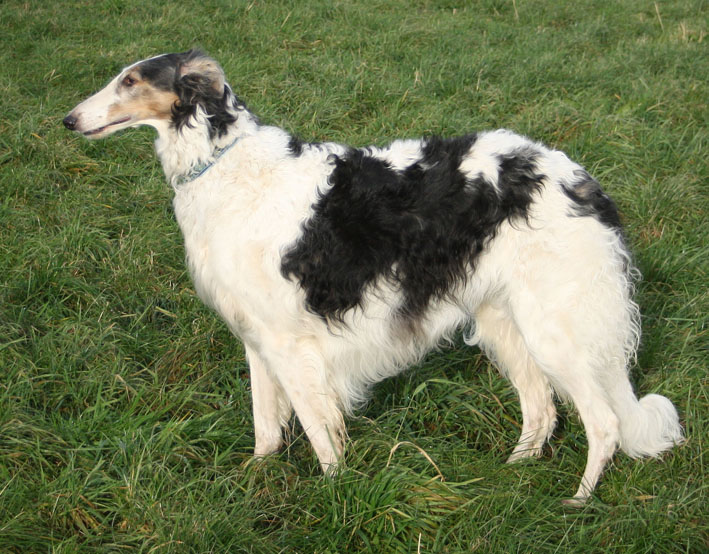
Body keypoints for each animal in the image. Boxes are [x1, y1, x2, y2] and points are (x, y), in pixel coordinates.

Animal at [64, 50, 682, 503]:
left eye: (131, 80)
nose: (68, 119)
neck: (226, 168)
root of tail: (580, 179)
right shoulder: (257, 339)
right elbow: (267, 428)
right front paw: (254, 482)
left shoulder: (291, 347)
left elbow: (320, 435)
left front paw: (334, 498)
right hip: (506, 322)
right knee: (542, 410)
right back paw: (511, 475)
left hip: (556, 330)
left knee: (603, 422)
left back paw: (577, 501)